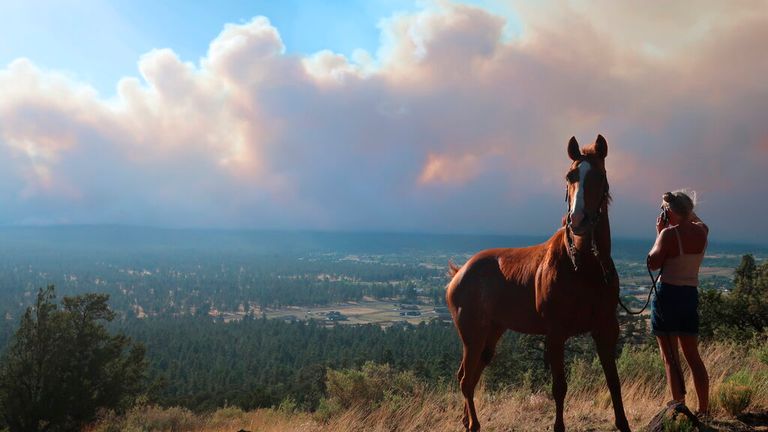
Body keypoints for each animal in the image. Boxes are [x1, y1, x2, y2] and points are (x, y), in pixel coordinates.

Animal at [444, 136, 632, 432]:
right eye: (570, 176)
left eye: (600, 176)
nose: (578, 221)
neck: (584, 268)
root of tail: (459, 273)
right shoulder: (555, 334)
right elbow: (559, 388)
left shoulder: (606, 330)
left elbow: (614, 382)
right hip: (472, 336)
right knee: (465, 380)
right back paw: (473, 424)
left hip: (491, 333)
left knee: (469, 376)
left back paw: (466, 420)